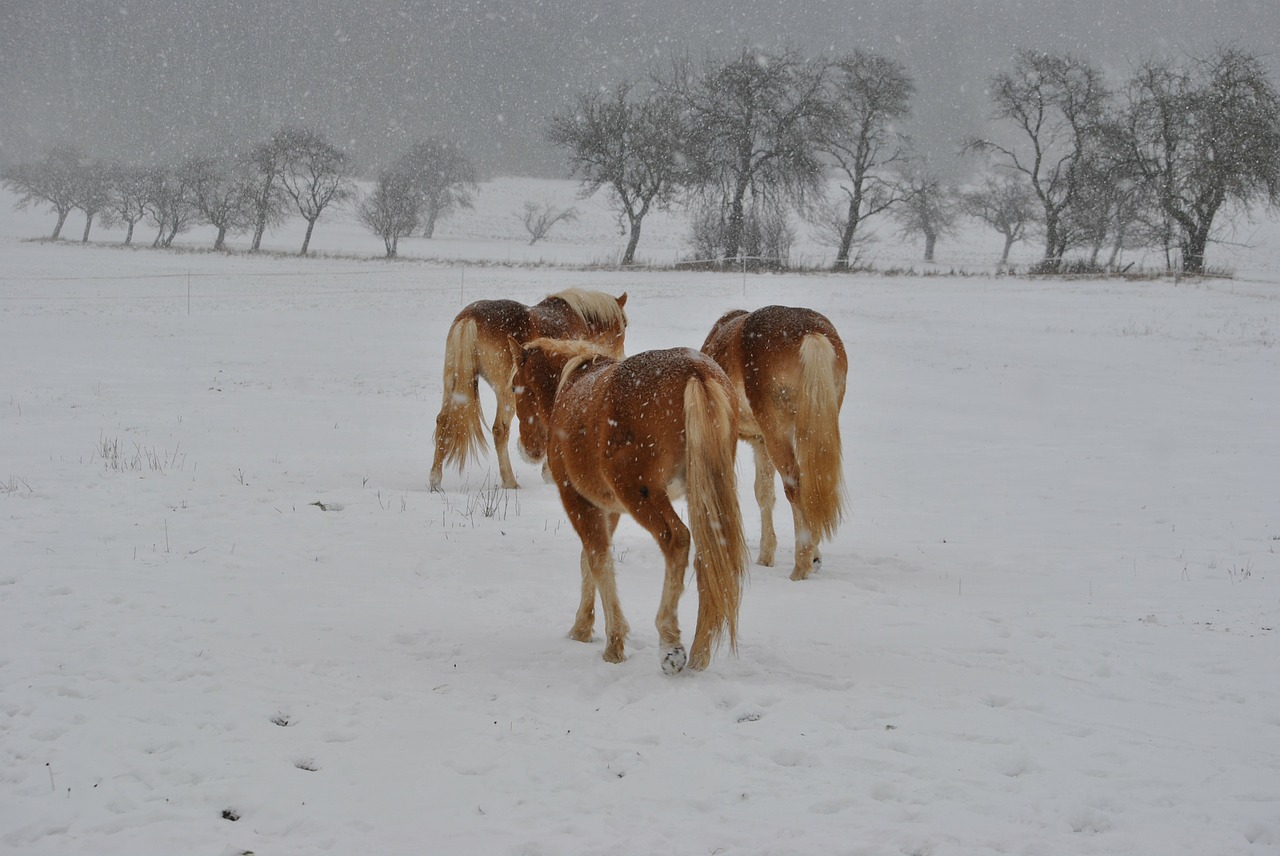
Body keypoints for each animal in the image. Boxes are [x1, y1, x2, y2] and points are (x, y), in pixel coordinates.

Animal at [432, 286, 627, 486]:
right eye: (624, 325)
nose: (622, 358)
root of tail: (469, 319)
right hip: (506, 394)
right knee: (500, 430)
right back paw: (510, 481)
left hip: (451, 384)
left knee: (443, 420)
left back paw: (435, 480)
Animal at [509, 337, 747, 670]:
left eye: (514, 388)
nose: (527, 449)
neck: (571, 385)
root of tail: (695, 372)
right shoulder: (609, 509)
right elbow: (588, 560)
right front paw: (582, 628)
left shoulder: (577, 500)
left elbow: (598, 560)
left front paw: (614, 643)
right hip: (702, 495)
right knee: (710, 556)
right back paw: (700, 652)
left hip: (642, 496)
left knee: (676, 539)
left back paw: (670, 643)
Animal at [701, 303, 849, 578]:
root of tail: (810, 333)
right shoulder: (760, 441)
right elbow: (764, 492)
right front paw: (766, 555)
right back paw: (811, 556)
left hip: (778, 432)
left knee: (795, 487)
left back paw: (801, 566)